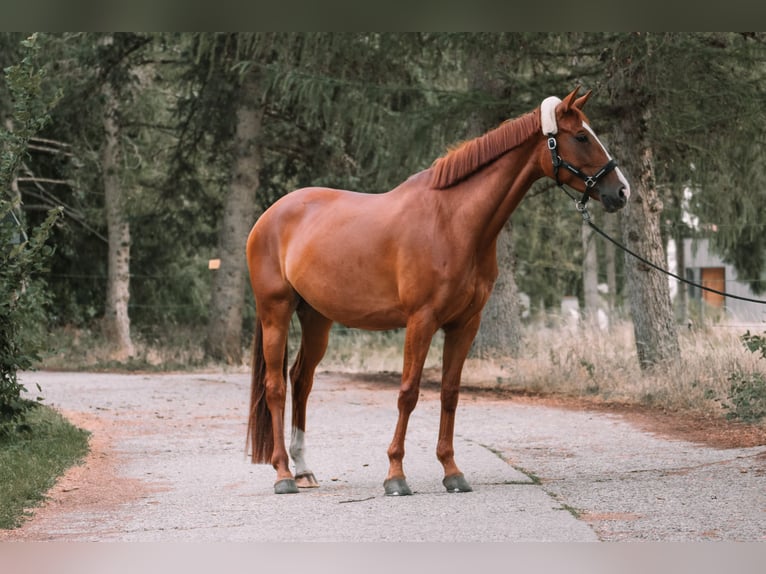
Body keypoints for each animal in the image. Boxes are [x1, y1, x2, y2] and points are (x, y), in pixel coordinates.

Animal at [246, 86, 630, 495]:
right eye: (582, 137)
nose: (621, 191)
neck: (453, 221)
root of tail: (269, 217)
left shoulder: (465, 324)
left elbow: (449, 393)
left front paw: (451, 471)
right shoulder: (421, 321)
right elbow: (409, 393)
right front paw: (395, 475)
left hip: (317, 318)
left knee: (301, 381)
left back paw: (303, 469)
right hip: (275, 313)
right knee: (275, 386)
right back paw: (283, 474)